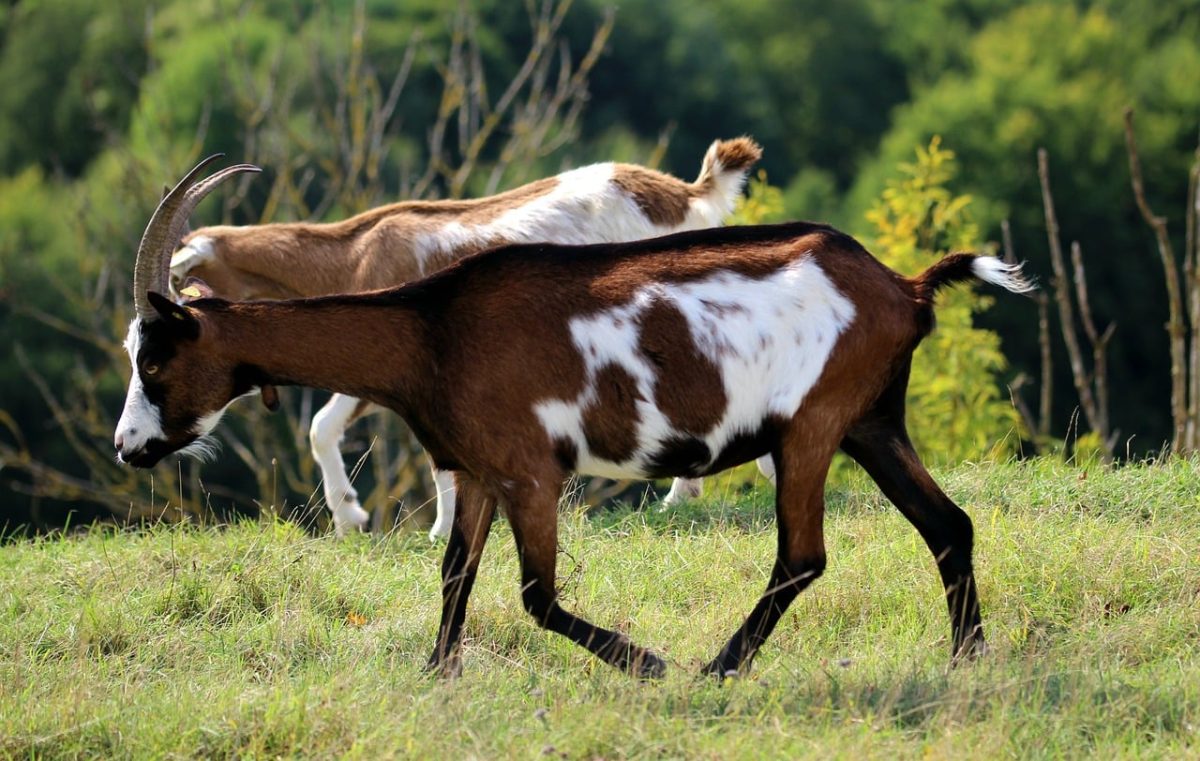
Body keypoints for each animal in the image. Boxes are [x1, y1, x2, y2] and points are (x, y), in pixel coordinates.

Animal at [167, 138, 765, 539]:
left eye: (178, 294)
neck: (354, 255)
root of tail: (685, 196)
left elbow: (338, 430)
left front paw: (423, 530)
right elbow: (328, 428)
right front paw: (356, 521)